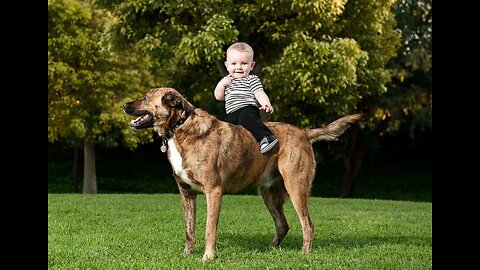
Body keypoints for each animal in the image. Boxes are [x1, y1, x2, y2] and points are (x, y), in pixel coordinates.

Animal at [123, 88, 364, 262]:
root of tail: (304, 133)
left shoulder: (213, 191)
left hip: (296, 188)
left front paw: (207, 257)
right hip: (269, 194)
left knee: (308, 224)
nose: (124, 105)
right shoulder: (186, 193)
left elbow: (209, 229)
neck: (180, 127)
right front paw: (187, 254)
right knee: (283, 225)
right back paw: (270, 250)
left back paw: (304, 254)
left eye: (146, 97)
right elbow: (189, 229)